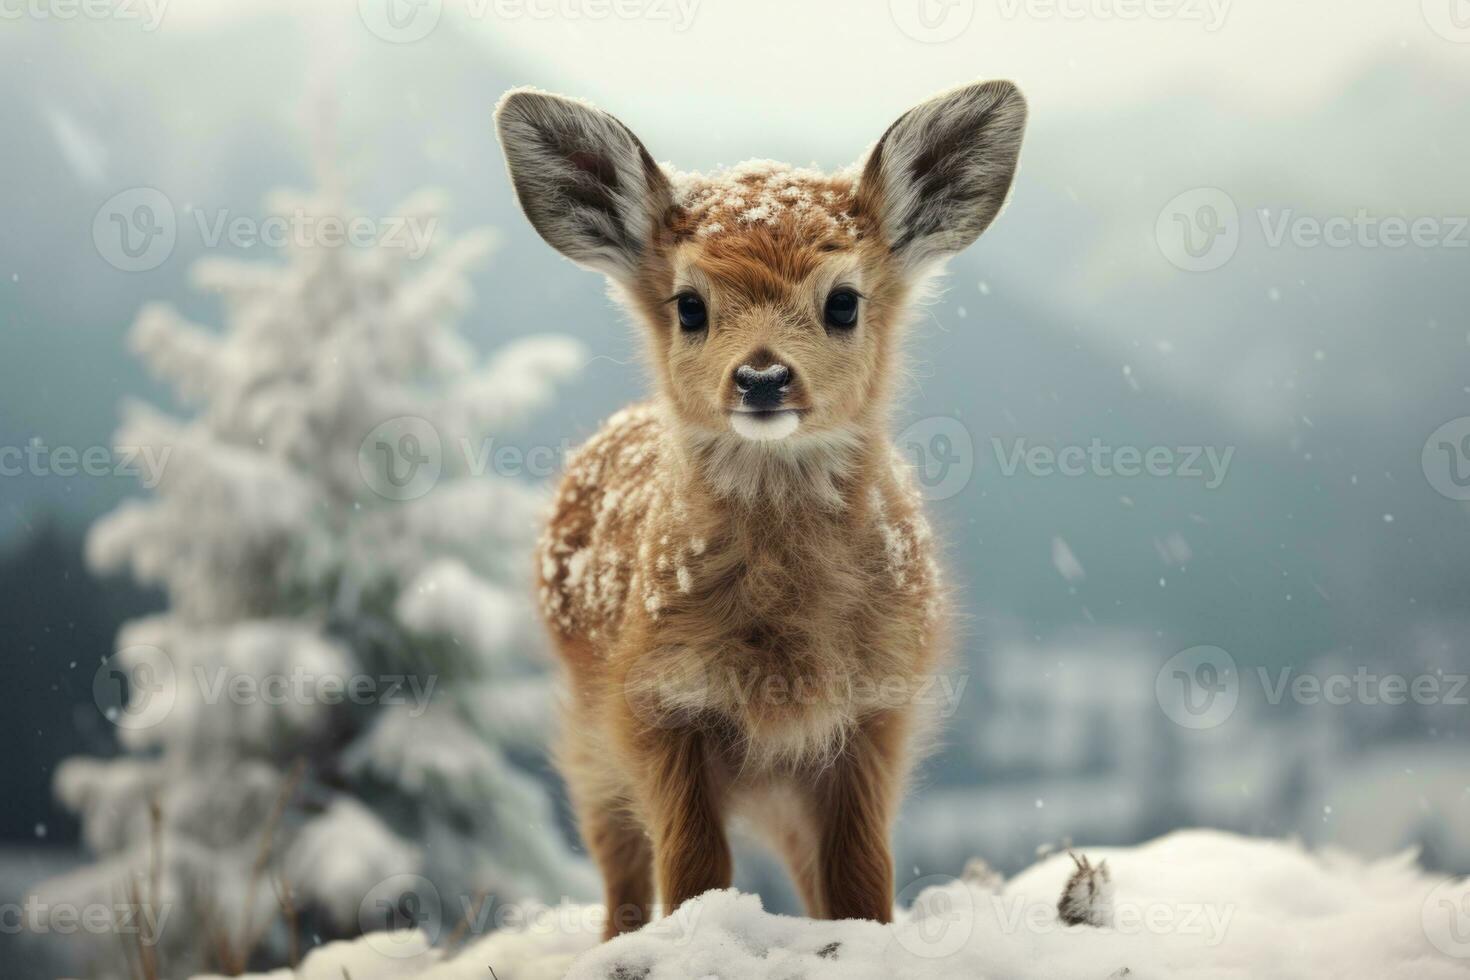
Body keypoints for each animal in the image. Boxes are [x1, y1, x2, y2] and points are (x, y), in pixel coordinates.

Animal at [493, 80, 1023, 940]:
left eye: (844, 303)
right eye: (689, 305)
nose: (764, 377)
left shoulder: (875, 711)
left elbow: (859, 873)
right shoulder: (655, 701)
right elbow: (693, 867)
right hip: (586, 730)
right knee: (620, 864)